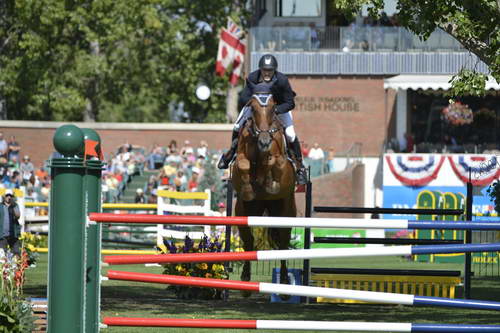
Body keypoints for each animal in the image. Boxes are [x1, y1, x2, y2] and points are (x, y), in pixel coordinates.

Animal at [230, 81, 296, 294]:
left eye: (274, 108)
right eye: (253, 107)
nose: (265, 141)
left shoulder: (282, 161)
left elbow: (274, 162)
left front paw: (270, 184)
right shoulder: (240, 161)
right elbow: (244, 164)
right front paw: (250, 189)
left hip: (286, 214)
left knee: (283, 244)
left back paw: (285, 284)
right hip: (243, 213)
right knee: (249, 242)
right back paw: (245, 282)